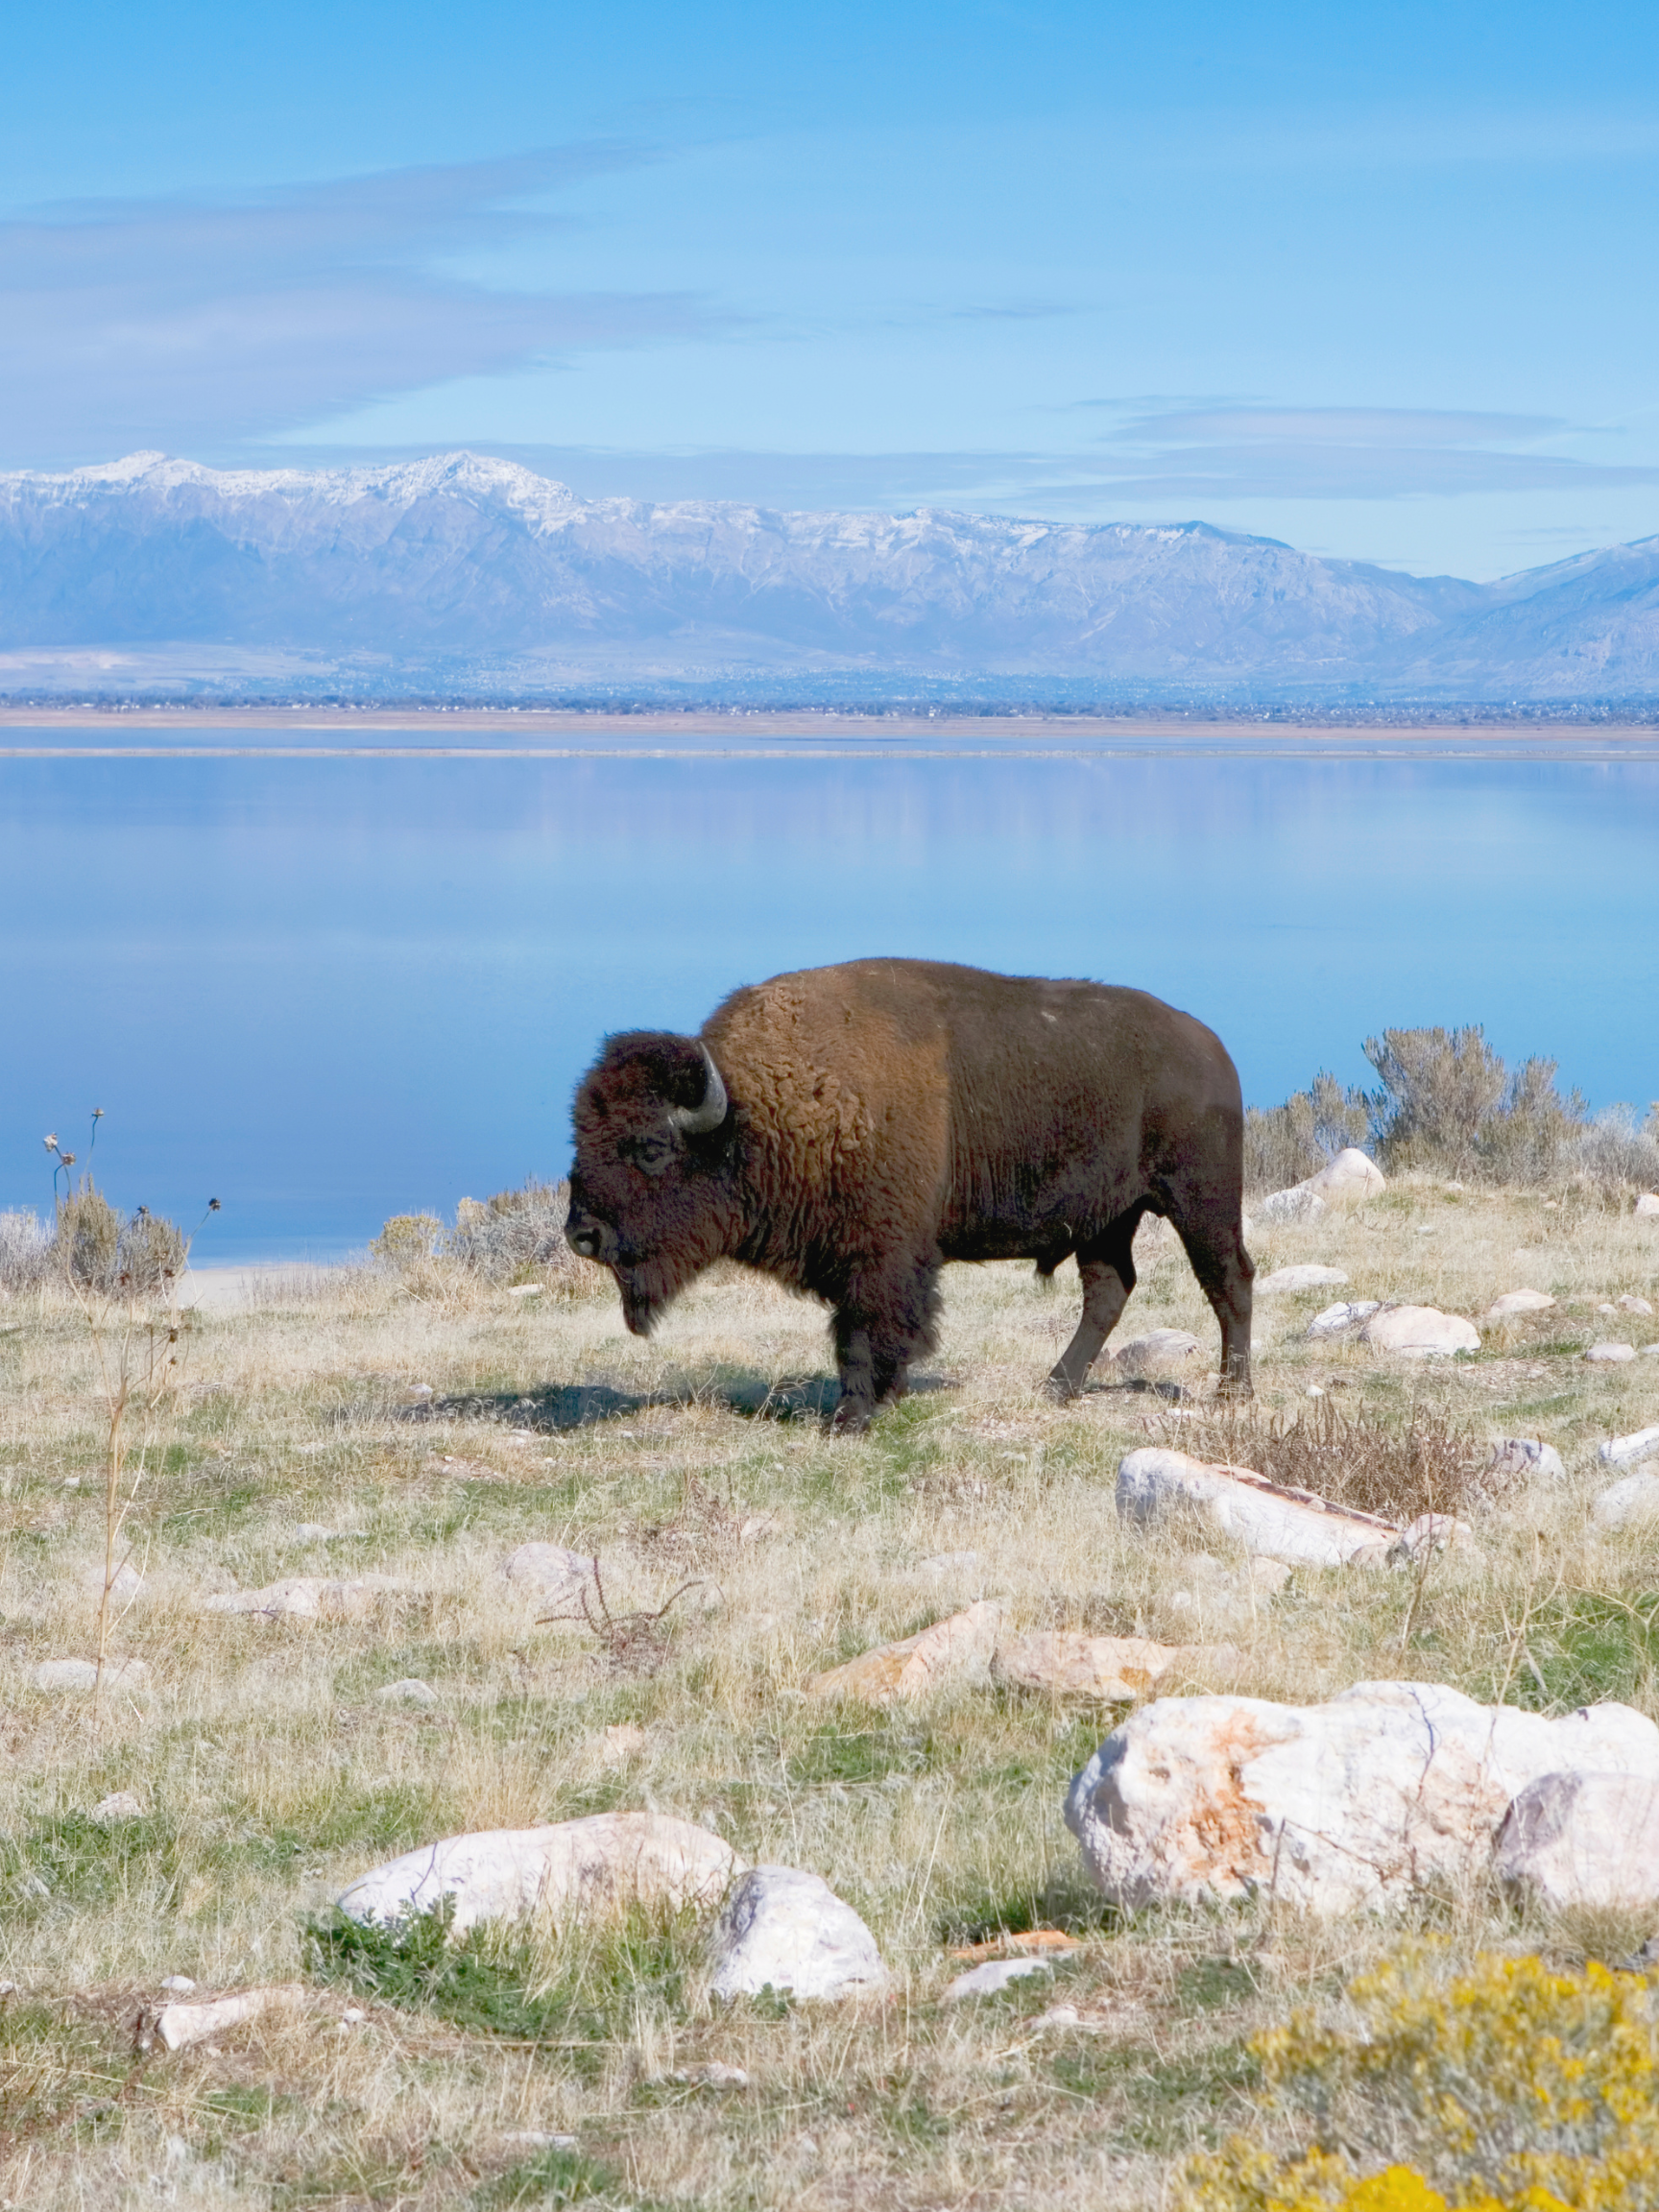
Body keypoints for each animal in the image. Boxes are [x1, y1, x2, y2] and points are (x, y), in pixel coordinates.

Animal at [565, 959, 1256, 1424]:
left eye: (650, 1149)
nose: (581, 1234)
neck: (758, 1110)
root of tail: (1212, 1049)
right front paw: (881, 1401)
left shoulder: (881, 1257)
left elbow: (865, 1333)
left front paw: (852, 1418)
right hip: (1107, 1219)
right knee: (1110, 1290)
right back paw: (1056, 1386)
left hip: (1200, 1200)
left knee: (1230, 1279)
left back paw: (1233, 1391)